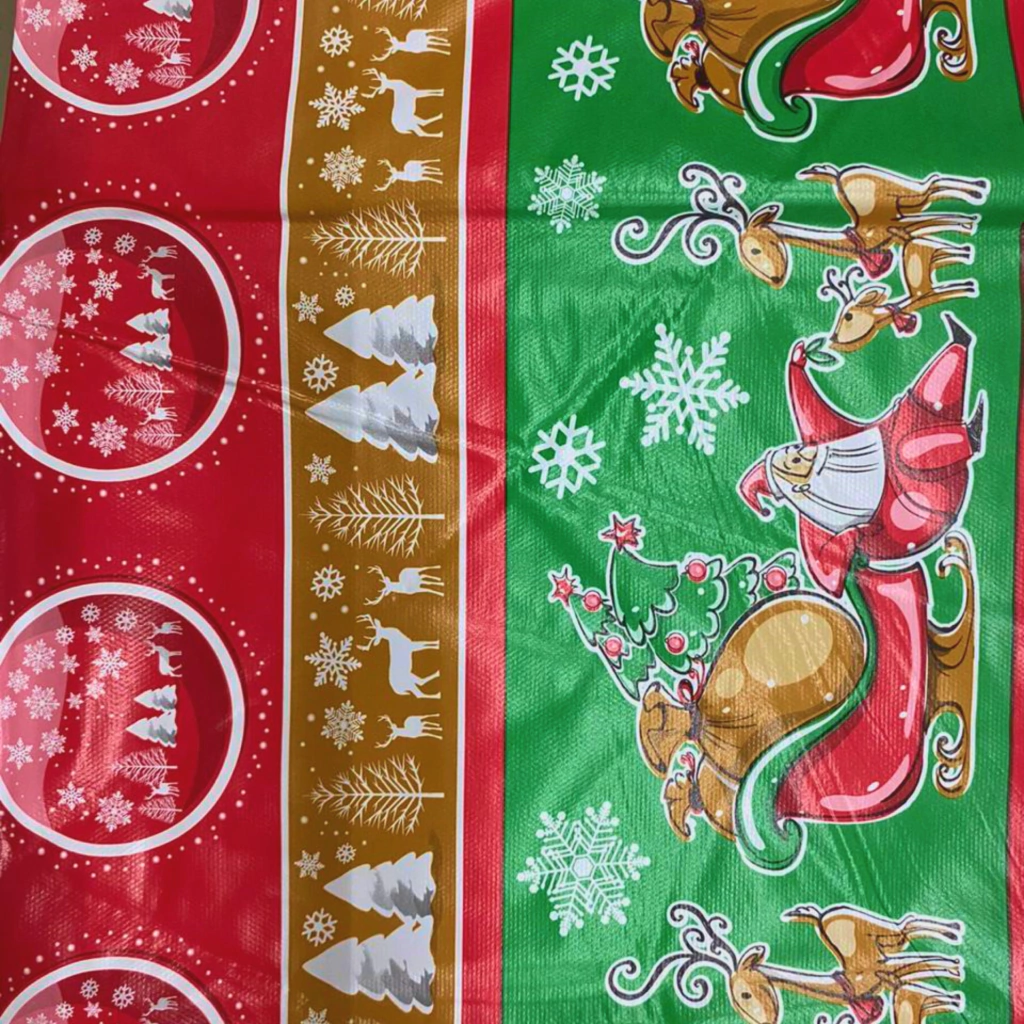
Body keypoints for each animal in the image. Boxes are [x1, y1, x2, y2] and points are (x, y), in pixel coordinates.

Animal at [607, 901, 966, 1024]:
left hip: (883, 935)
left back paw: (953, 932)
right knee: (910, 927)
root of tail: (826, 914)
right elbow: (923, 972)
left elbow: (927, 966)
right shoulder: (889, 972)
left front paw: (955, 973)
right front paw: (954, 981)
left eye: (745, 993)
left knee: (909, 924)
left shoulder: (885, 969)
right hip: (888, 941)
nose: (765, 1021)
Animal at [612, 162, 988, 290]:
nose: (776, 278)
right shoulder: (900, 230)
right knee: (935, 188)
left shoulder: (896, 226)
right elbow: (933, 232)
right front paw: (964, 241)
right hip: (909, 201)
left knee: (934, 183)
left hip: (905, 195)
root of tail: (841, 174)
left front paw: (968, 231)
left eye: (754, 248)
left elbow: (936, 226)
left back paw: (978, 192)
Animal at [819, 238, 978, 353]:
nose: (833, 337)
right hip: (938, 258)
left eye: (848, 316)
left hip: (936, 252)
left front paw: (966, 289)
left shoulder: (928, 293)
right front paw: (967, 287)